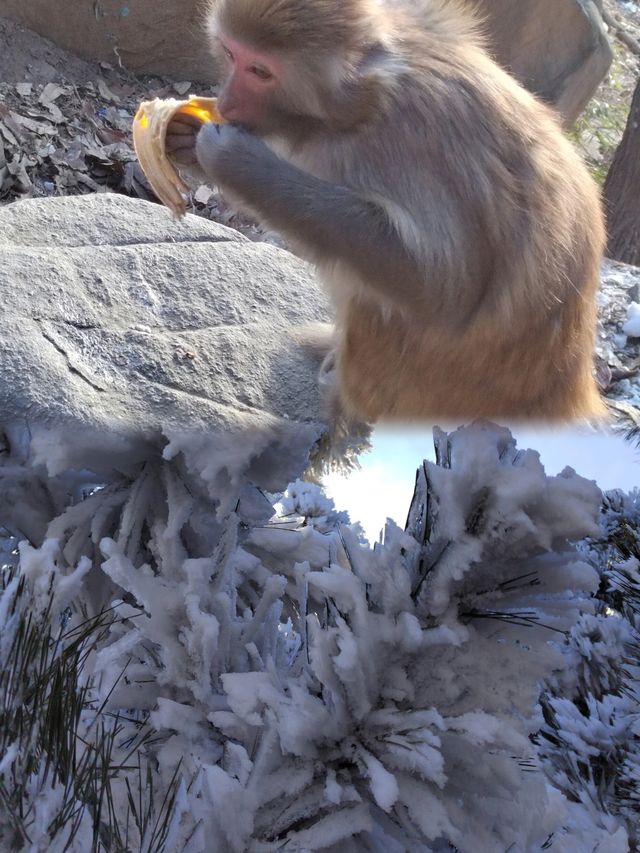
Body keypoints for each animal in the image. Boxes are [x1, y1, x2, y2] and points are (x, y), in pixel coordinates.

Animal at [165, 0, 604, 424]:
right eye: (230, 53)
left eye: (259, 70)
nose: (226, 102)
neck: (363, 101)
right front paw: (184, 138)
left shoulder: (412, 140)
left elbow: (445, 286)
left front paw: (235, 162)